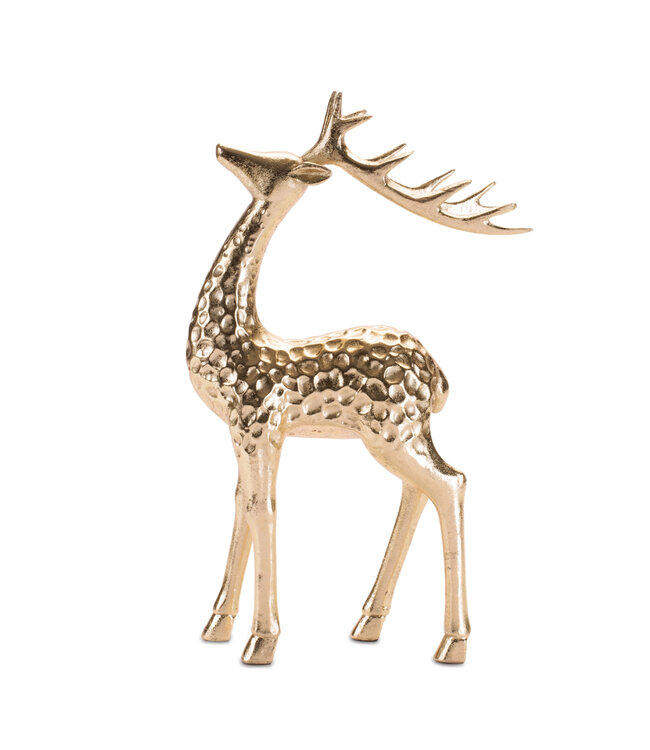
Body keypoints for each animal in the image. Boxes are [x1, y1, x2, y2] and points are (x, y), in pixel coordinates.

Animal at [187, 92, 529, 665]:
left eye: (275, 162)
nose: (223, 148)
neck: (238, 340)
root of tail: (437, 373)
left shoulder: (258, 424)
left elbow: (262, 507)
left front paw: (261, 641)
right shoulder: (246, 431)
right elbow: (240, 504)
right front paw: (217, 625)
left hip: (393, 430)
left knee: (450, 481)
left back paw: (452, 642)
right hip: (403, 431)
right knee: (425, 487)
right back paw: (369, 622)